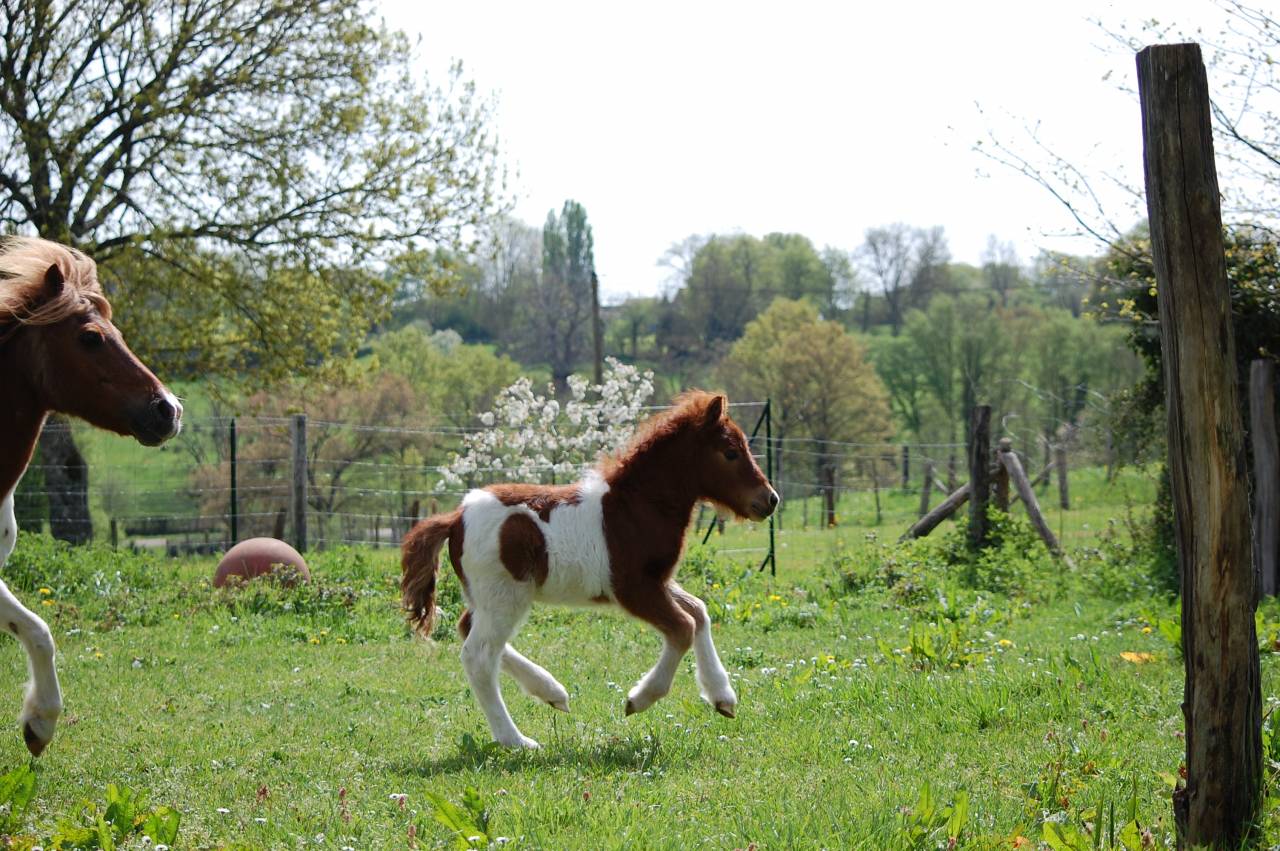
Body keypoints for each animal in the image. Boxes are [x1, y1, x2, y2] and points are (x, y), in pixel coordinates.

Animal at [401, 391, 778, 749]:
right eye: (731, 452)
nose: (770, 500)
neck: (636, 507)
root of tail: (455, 518)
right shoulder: (632, 588)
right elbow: (684, 627)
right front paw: (639, 699)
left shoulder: (657, 581)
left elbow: (699, 612)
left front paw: (722, 697)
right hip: (505, 596)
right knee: (478, 655)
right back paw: (517, 740)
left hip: (489, 597)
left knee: (470, 630)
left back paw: (552, 692)